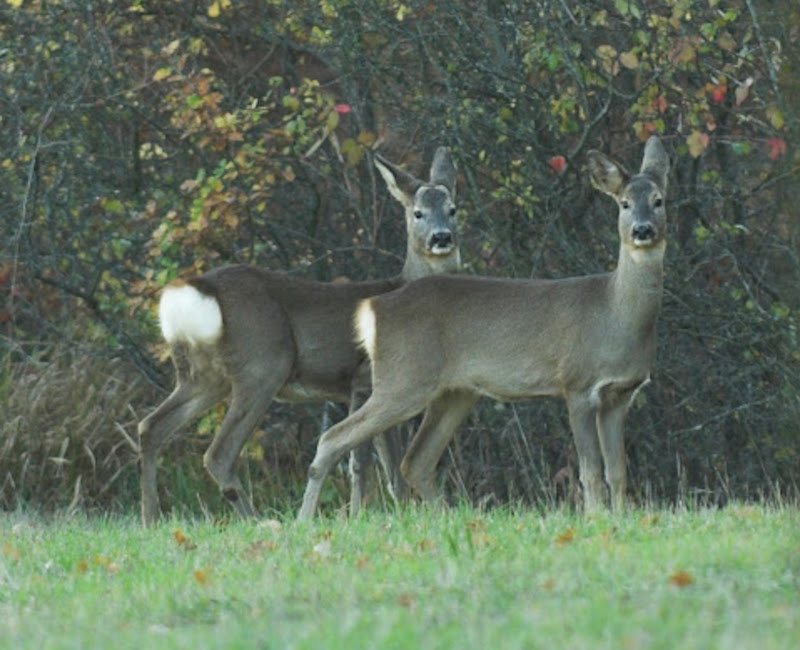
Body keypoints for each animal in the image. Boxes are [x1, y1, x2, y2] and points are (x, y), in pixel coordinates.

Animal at [140, 146, 460, 520]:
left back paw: (150, 519)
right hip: (264, 364)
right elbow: (361, 462)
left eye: (452, 209)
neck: (402, 283)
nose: (442, 237)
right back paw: (258, 520)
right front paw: (357, 515)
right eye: (418, 213)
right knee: (218, 455)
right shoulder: (362, 379)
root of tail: (199, 289)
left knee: (151, 427)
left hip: (202, 376)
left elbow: (388, 469)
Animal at [298, 135, 668, 516]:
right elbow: (591, 472)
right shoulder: (578, 383)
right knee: (333, 438)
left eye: (659, 200)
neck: (614, 314)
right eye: (624, 204)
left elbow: (617, 471)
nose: (643, 230)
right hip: (403, 379)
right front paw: (595, 519)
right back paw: (304, 519)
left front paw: (619, 519)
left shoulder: (620, 393)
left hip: (454, 392)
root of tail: (371, 308)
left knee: (416, 461)